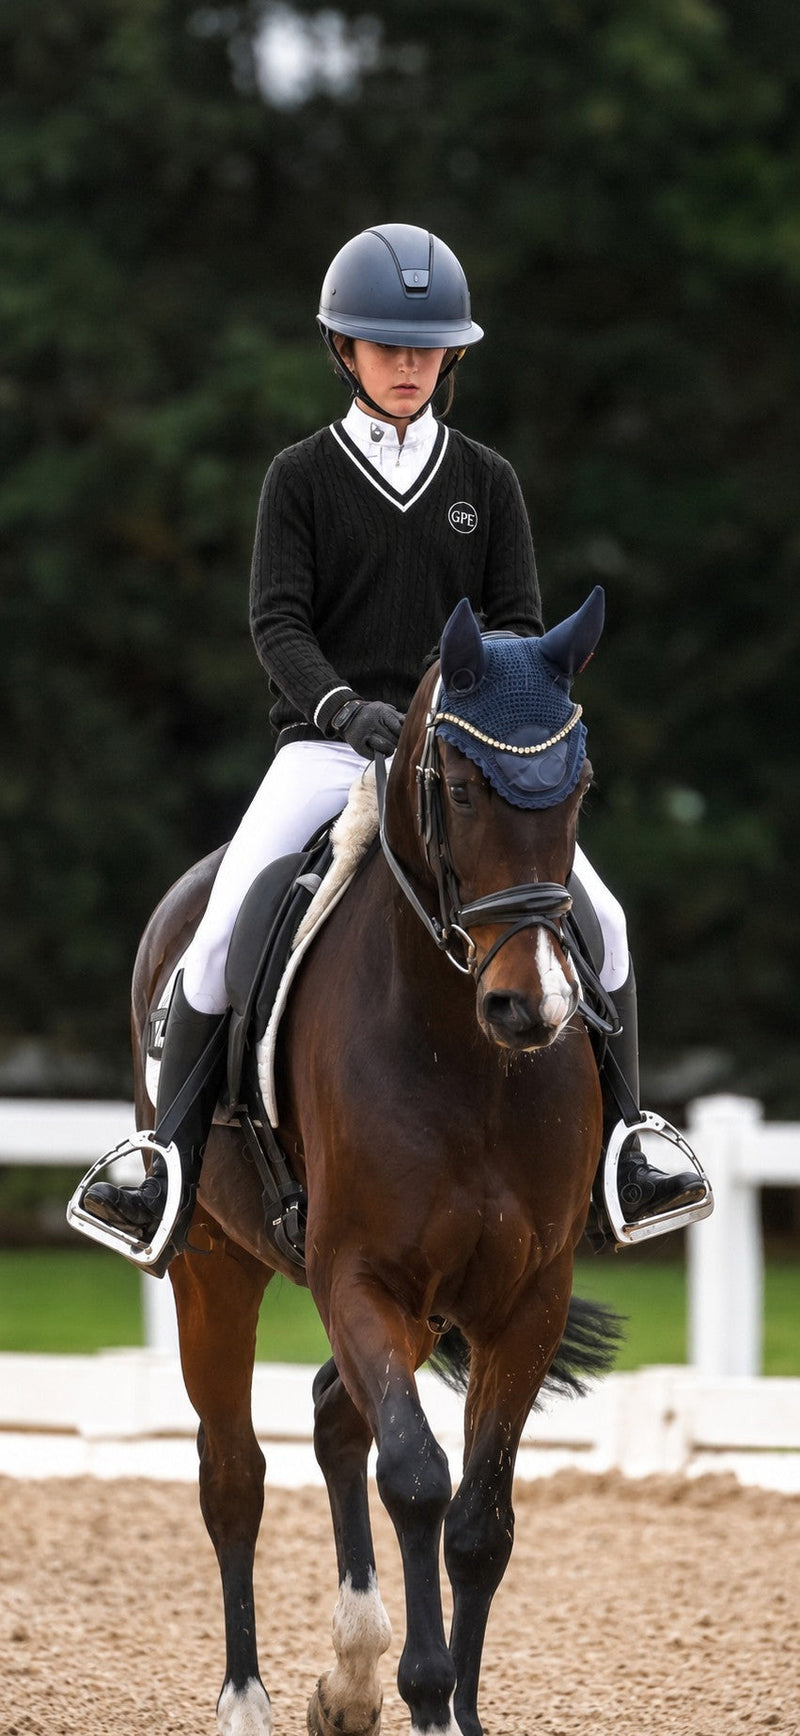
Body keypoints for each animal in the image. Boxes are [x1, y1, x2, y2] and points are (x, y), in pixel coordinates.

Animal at [117, 588, 620, 1736]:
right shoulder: (358, 1275)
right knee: (233, 1473)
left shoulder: (523, 1295)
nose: (529, 1008)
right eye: (458, 787)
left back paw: (346, 1676)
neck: (467, 1057)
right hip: (215, 1264)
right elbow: (420, 1479)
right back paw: (249, 1702)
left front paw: (455, 1709)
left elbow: (479, 1515)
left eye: (576, 788)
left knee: (333, 1415)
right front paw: (427, 1693)